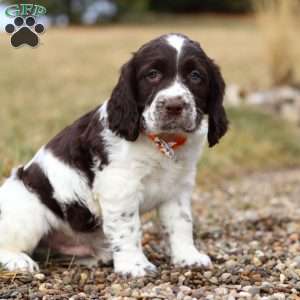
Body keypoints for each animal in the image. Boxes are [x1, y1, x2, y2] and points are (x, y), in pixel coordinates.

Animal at [0, 33, 227, 276]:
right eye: (152, 75)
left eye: (195, 76)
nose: (174, 106)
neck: (163, 141)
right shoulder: (120, 186)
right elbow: (128, 227)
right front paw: (135, 265)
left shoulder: (177, 188)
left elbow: (181, 223)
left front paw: (188, 257)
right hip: (29, 212)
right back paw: (18, 261)